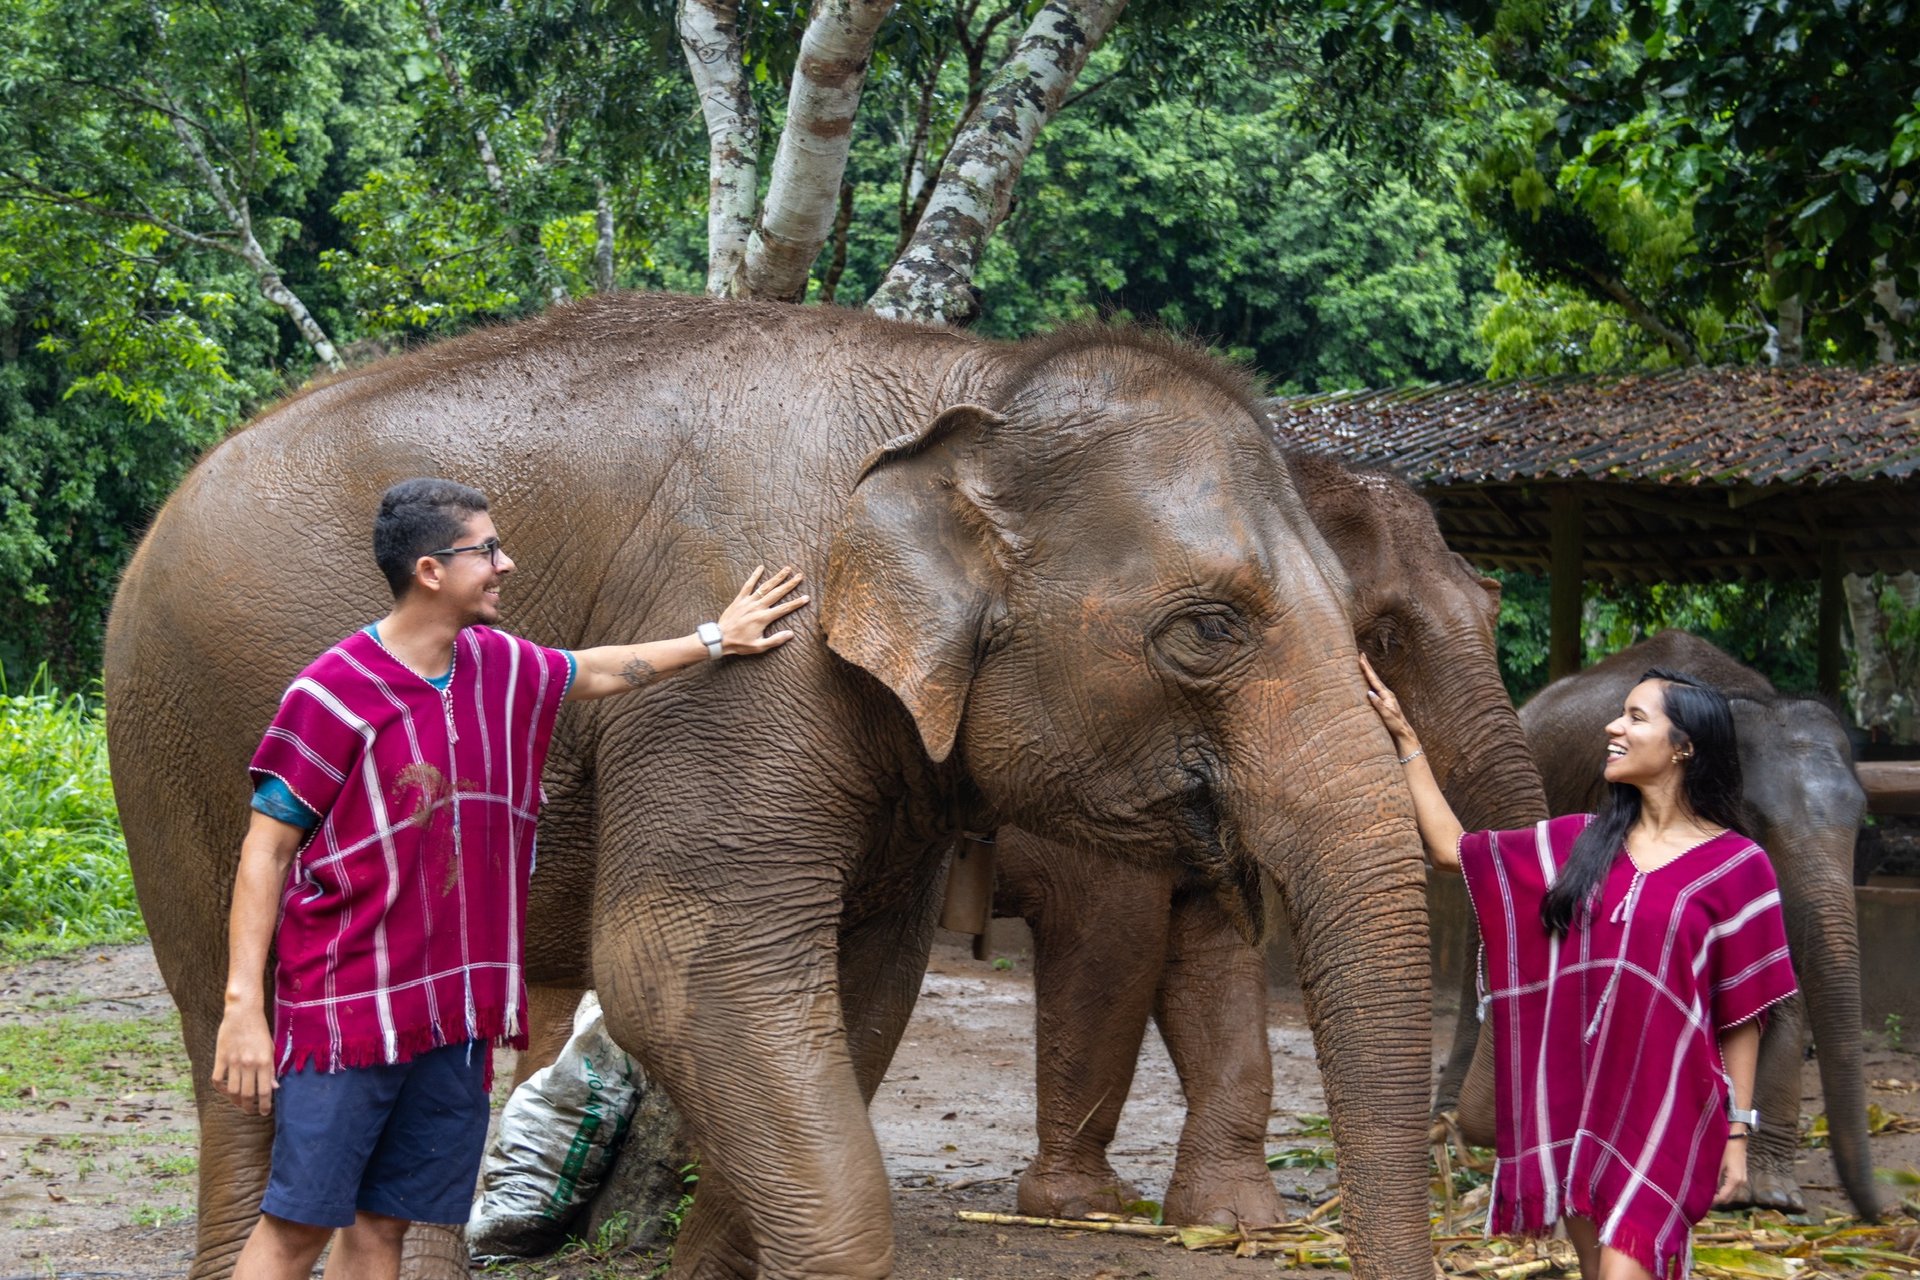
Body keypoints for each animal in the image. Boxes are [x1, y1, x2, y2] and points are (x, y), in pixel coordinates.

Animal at [104, 294, 1438, 1280]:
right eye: (1208, 627)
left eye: (1358, 618)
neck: (971, 388)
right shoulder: (737, 684)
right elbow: (683, 973)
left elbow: (862, 987)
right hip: (179, 753)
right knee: (241, 1044)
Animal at [990, 450, 1550, 1227]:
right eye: (1382, 637)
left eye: (1492, 607)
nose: (1457, 1141)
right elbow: (1113, 940)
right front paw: (1082, 1204)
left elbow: (1215, 952)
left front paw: (1233, 1219)